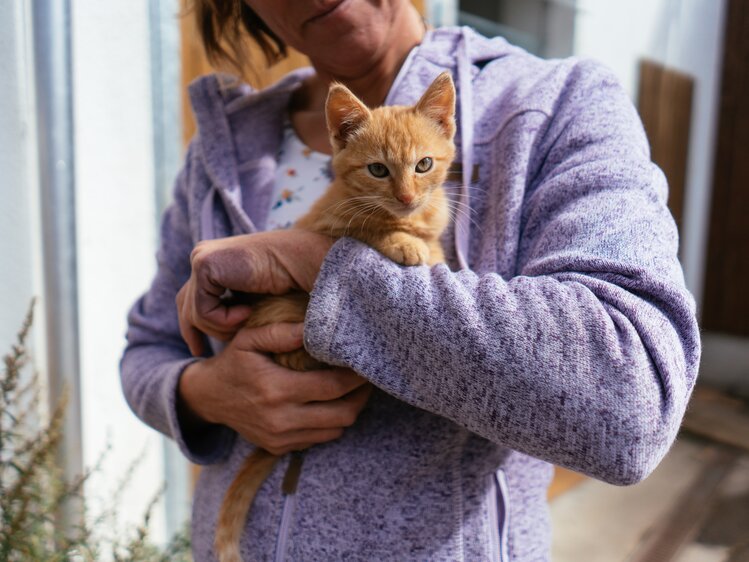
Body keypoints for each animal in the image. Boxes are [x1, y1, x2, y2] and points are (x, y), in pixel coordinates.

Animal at [213, 71, 452, 560]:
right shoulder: (327, 226)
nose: (406, 196)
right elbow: (368, 228)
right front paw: (403, 241)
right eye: (378, 170)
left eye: (424, 165)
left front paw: (431, 248)